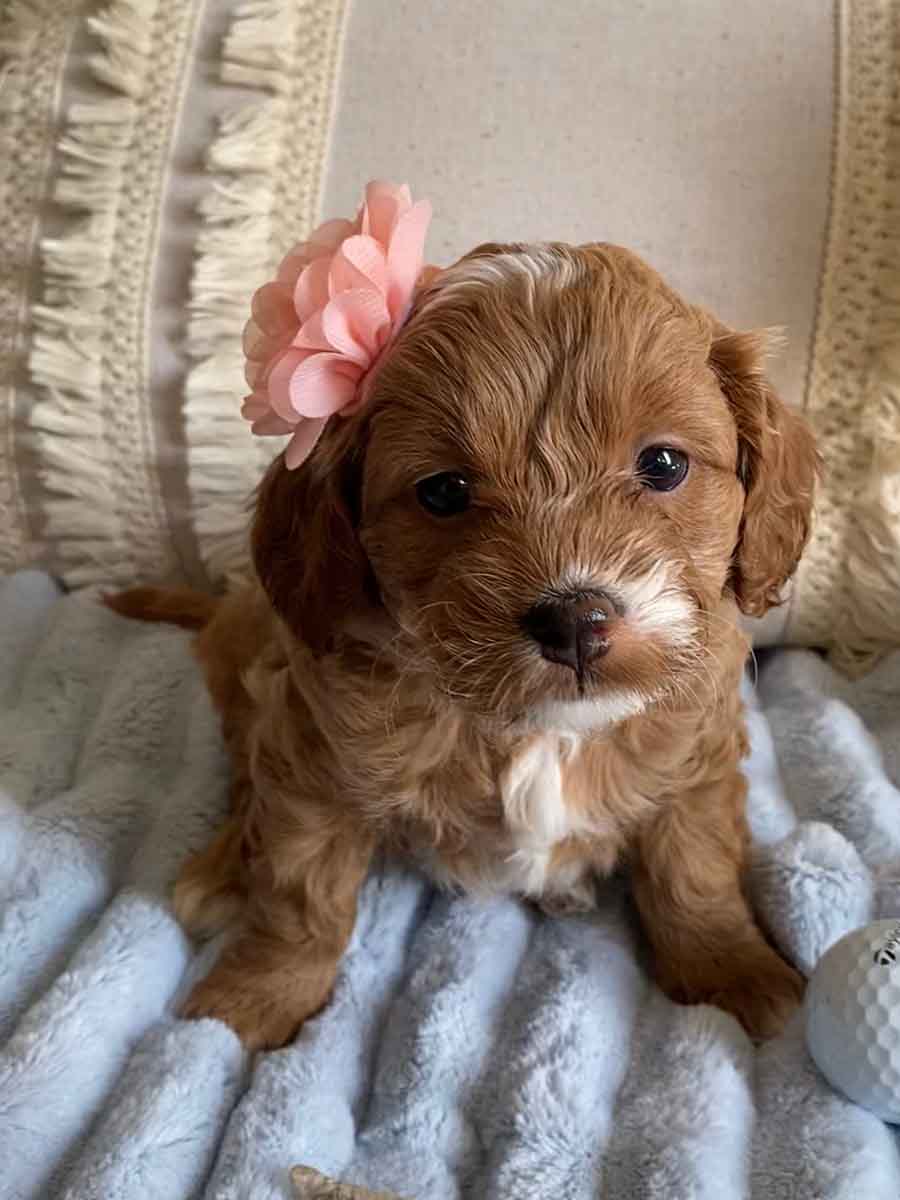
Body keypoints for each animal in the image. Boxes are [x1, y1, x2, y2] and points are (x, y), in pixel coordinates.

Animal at [108, 241, 819, 1051]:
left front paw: (732, 970)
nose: (575, 619)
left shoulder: (698, 753)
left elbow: (694, 869)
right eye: (443, 491)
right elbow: (301, 897)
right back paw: (226, 869)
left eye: (664, 465)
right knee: (242, 781)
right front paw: (250, 1000)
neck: (539, 730)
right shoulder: (310, 758)